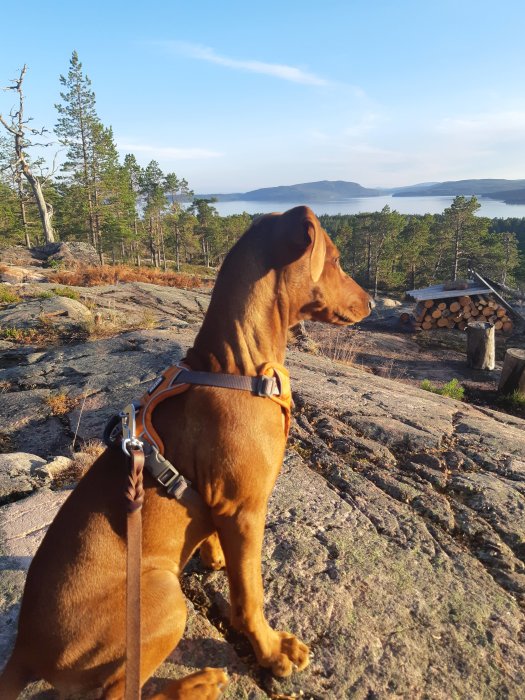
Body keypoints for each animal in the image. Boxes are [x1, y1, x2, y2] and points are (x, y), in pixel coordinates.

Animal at [0, 205, 370, 696]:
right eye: (338, 259)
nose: (371, 303)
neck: (236, 367)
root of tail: (24, 649)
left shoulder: (223, 503)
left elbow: (218, 539)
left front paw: (213, 554)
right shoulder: (246, 510)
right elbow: (249, 597)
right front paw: (271, 652)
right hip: (165, 599)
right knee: (119, 692)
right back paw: (198, 684)